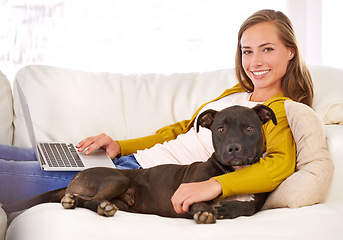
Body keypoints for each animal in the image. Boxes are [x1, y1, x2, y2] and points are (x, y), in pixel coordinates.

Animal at [3, 104, 276, 224]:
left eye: (250, 128)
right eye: (220, 129)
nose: (233, 148)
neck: (232, 172)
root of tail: (76, 177)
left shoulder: (253, 202)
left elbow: (245, 208)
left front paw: (224, 208)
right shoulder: (187, 195)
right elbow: (200, 203)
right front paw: (206, 211)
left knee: (85, 201)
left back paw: (85, 204)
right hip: (117, 178)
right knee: (93, 199)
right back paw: (99, 206)